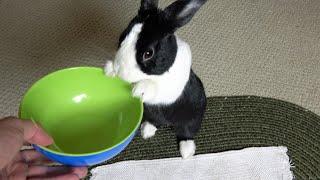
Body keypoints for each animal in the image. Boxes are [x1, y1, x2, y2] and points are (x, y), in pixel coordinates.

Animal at [105, 0, 208, 158]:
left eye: (148, 53)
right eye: (122, 37)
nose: (119, 70)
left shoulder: (170, 89)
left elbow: (155, 87)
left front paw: (139, 90)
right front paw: (109, 70)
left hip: (192, 118)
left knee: (186, 131)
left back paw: (186, 151)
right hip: (151, 114)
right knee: (156, 122)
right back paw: (146, 131)